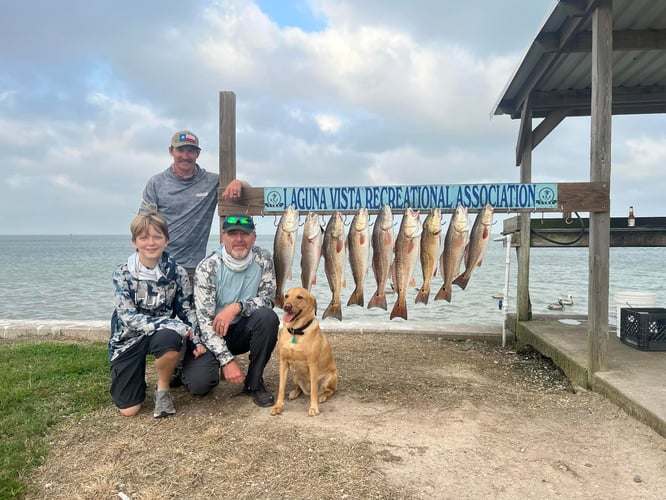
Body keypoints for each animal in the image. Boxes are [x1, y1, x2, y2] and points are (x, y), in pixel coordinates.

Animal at [270, 288, 338, 416]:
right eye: (286, 296)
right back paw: (295, 392)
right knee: (300, 388)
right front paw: (278, 406)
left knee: (329, 391)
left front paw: (314, 408)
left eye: (300, 297)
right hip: (295, 376)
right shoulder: (283, 362)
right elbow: (281, 388)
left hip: (330, 377)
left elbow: (314, 391)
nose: (286, 307)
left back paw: (322, 396)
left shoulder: (313, 364)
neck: (296, 331)